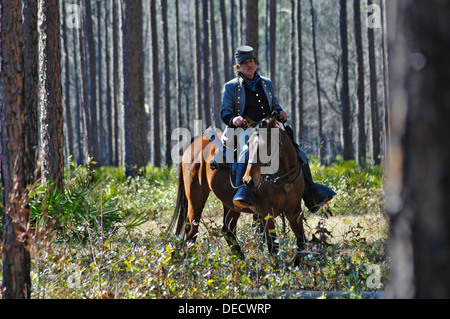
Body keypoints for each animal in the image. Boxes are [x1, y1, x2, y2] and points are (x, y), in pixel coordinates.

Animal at [168, 115, 306, 264]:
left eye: (267, 145)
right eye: (248, 145)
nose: (248, 181)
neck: (283, 180)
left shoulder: (295, 212)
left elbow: (301, 243)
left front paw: (295, 265)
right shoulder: (267, 214)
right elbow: (273, 248)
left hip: (231, 205)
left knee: (227, 230)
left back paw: (242, 264)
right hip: (195, 199)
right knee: (192, 232)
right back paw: (190, 263)